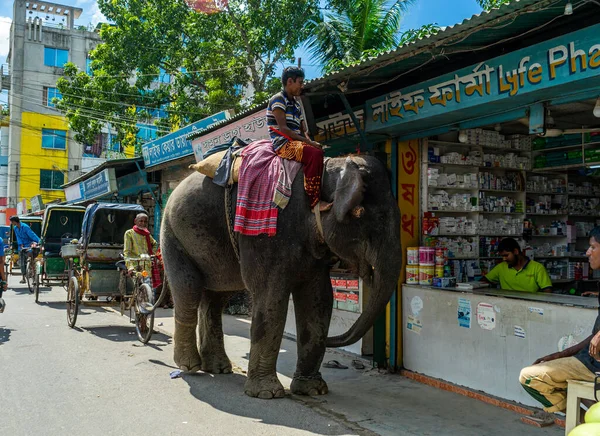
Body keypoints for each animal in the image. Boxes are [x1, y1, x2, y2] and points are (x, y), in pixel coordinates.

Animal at [162, 153, 400, 398]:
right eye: (375, 221)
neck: (321, 172)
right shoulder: (266, 233)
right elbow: (271, 298)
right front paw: (268, 394)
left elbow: (319, 299)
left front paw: (313, 390)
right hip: (173, 235)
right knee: (188, 290)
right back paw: (190, 366)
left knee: (216, 298)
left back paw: (218, 368)